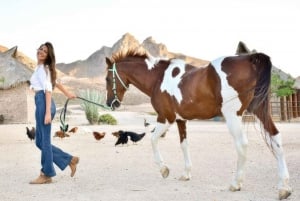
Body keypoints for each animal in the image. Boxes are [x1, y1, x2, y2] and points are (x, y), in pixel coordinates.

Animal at [104, 49, 292, 199]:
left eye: (107, 78)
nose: (110, 103)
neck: (158, 78)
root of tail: (251, 59)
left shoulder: (165, 118)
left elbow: (153, 139)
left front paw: (164, 169)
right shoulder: (180, 120)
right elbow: (184, 145)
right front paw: (186, 173)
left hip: (233, 115)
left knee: (242, 144)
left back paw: (236, 183)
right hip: (260, 111)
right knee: (276, 138)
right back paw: (284, 188)